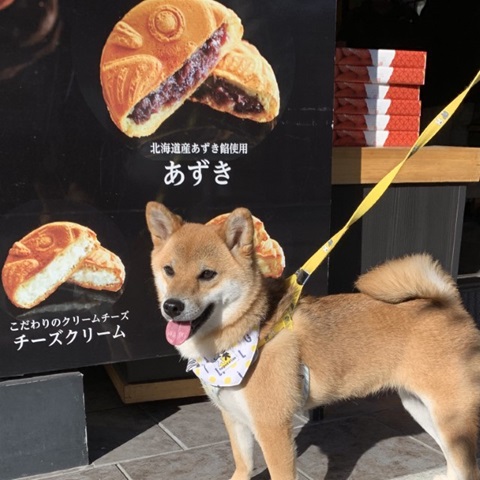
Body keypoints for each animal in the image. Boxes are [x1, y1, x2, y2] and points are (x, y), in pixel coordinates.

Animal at [146, 201, 480, 480]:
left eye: (207, 275)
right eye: (169, 270)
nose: (172, 306)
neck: (246, 335)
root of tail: (450, 304)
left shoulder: (272, 427)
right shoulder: (235, 418)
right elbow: (243, 466)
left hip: (450, 417)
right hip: (421, 409)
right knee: (455, 466)